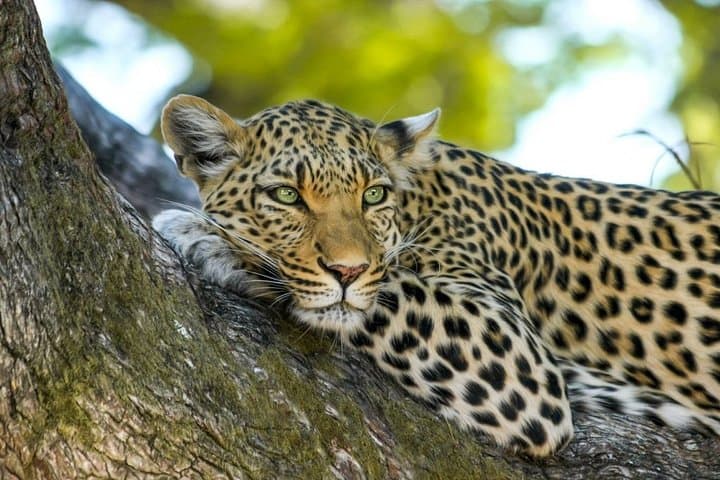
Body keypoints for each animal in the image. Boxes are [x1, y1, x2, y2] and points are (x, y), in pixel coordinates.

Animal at [152, 94, 720, 457]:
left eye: (373, 195)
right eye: (287, 195)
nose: (347, 269)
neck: (420, 201)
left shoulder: (515, 355)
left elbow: (388, 291)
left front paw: (208, 237)